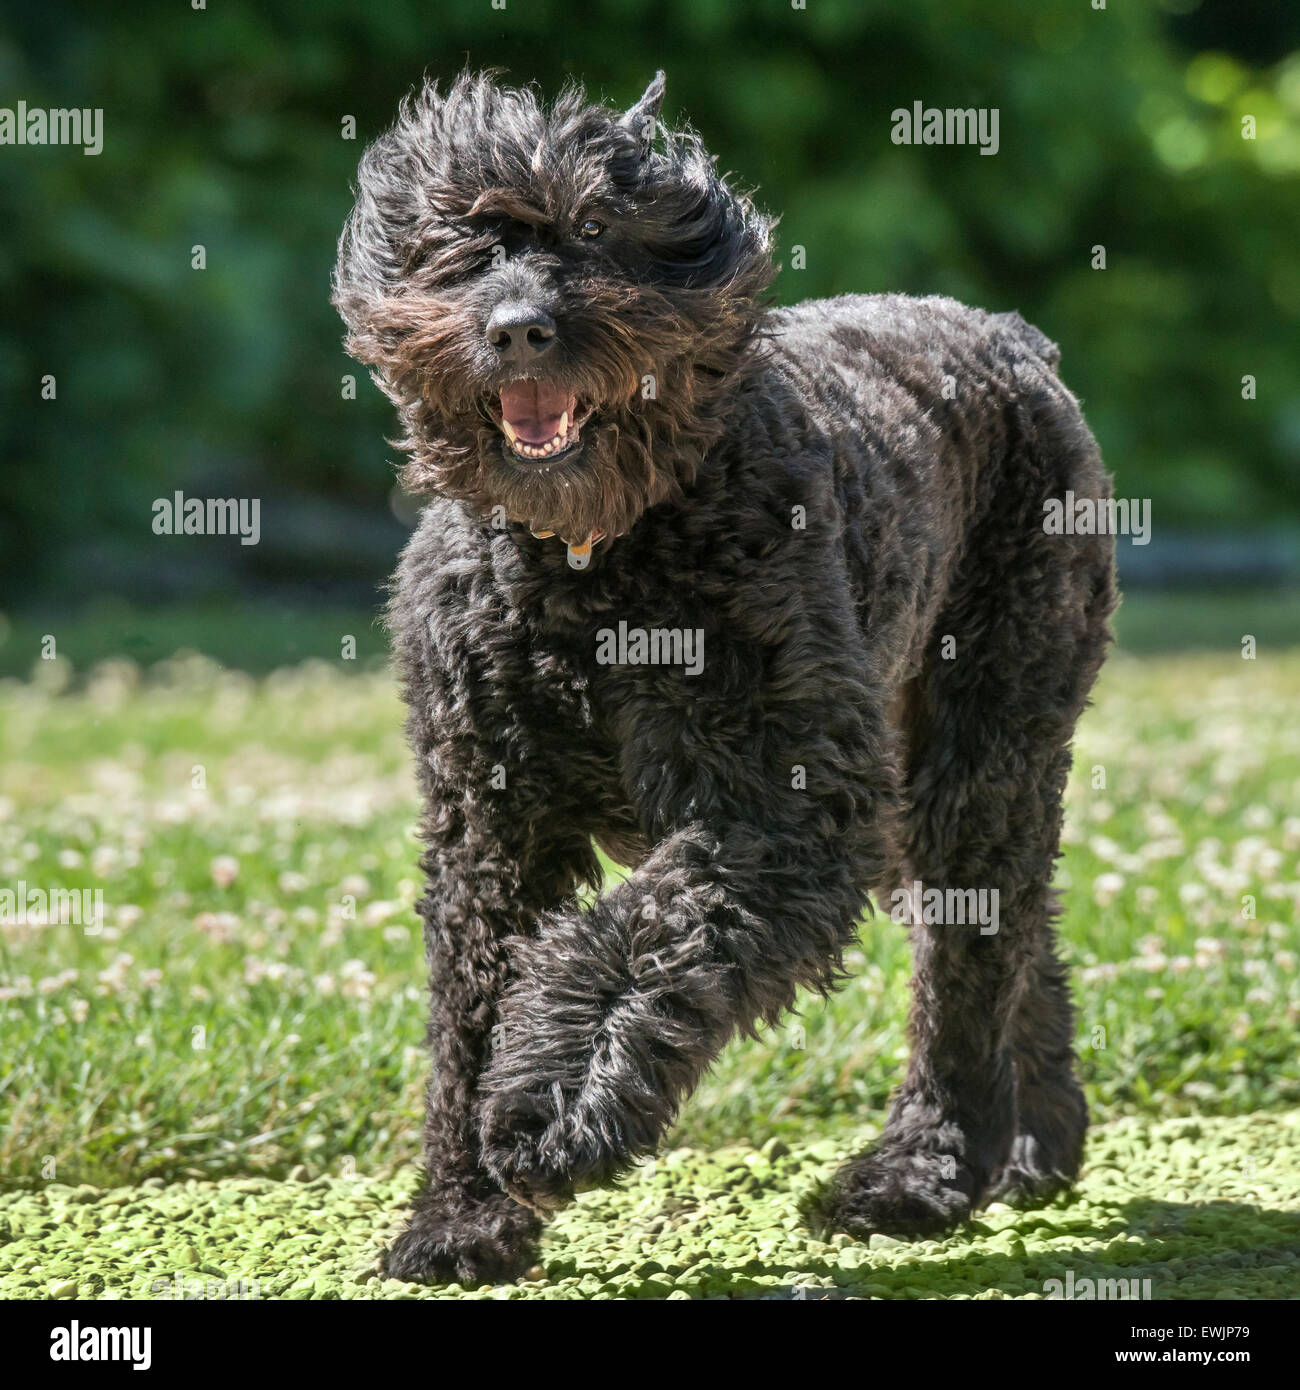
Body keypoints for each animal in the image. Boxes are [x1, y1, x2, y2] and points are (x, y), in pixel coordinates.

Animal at [335, 65, 1117, 1278]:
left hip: (975, 754)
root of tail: (1015, 344)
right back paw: (1036, 1142)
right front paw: (462, 1213)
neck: (593, 565)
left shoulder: (783, 807)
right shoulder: (491, 821)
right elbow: (472, 1010)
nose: (518, 329)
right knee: (1018, 933)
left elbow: (642, 943)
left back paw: (921, 1171)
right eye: (459, 241)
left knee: (968, 961)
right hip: (918, 781)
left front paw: (559, 1104)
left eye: (596, 231)